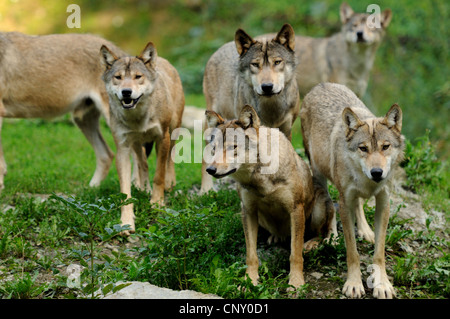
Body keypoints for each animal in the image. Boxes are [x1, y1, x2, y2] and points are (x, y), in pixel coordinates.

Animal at [100, 42, 185, 234]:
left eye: (137, 77)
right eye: (118, 77)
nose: (126, 92)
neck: (137, 118)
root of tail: (163, 61)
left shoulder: (163, 139)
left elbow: (159, 175)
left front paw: (157, 203)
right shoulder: (123, 149)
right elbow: (125, 192)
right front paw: (126, 222)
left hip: (173, 130)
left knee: (170, 159)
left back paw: (170, 184)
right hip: (137, 144)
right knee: (142, 164)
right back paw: (144, 188)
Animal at [200, 23, 298, 194]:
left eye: (277, 62)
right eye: (255, 64)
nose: (267, 86)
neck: (271, 109)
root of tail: (223, 46)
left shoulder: (286, 130)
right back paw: (205, 190)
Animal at [204, 105, 334, 292]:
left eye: (233, 147)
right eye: (214, 149)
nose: (210, 170)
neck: (259, 177)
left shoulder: (296, 209)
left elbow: (295, 253)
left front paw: (296, 283)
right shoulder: (248, 211)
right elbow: (251, 256)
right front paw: (249, 281)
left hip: (318, 208)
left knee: (318, 233)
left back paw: (311, 243)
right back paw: (276, 237)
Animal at [302, 83, 404, 300]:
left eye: (385, 147)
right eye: (363, 148)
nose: (377, 172)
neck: (368, 182)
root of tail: (320, 85)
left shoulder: (384, 201)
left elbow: (379, 252)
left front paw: (382, 284)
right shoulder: (345, 202)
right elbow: (352, 252)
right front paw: (354, 284)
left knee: (359, 204)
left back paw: (365, 231)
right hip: (319, 173)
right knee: (331, 207)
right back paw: (331, 237)